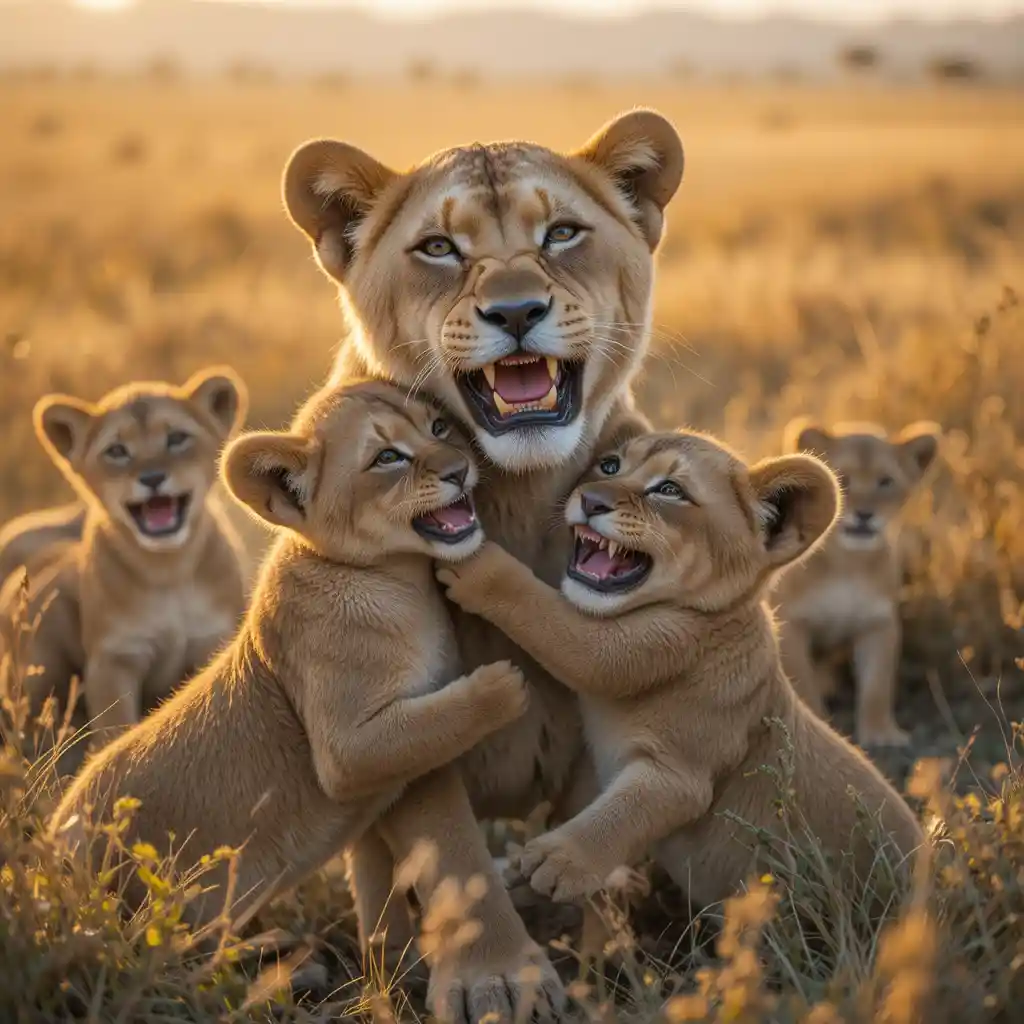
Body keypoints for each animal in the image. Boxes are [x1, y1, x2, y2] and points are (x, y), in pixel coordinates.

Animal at [0, 368, 250, 744]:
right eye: (117, 451)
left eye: (177, 438)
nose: (152, 478)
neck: (168, 570)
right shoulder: (113, 661)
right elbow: (116, 730)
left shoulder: (213, 641)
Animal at [47, 379, 558, 1021]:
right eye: (386, 457)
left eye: (438, 427)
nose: (459, 469)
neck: (402, 579)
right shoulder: (345, 750)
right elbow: (435, 721)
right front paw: (504, 686)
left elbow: (378, 889)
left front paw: (392, 975)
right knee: (163, 970)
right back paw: (288, 967)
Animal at [282, 108, 684, 1006]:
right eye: (439, 248)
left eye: (561, 233)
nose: (517, 310)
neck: (518, 495)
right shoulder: (397, 721)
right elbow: (453, 854)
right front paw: (498, 981)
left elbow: (591, 840)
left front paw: (601, 964)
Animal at [436, 430, 924, 918]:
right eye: (609, 467)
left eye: (669, 490)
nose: (591, 500)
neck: (708, 614)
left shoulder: (675, 766)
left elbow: (555, 624)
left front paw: (554, 862)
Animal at [773, 418, 942, 748]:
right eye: (843, 479)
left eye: (885, 482)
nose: (865, 515)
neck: (848, 565)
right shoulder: (791, 623)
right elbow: (804, 684)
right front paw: (820, 724)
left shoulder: (879, 624)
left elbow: (878, 684)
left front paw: (881, 733)